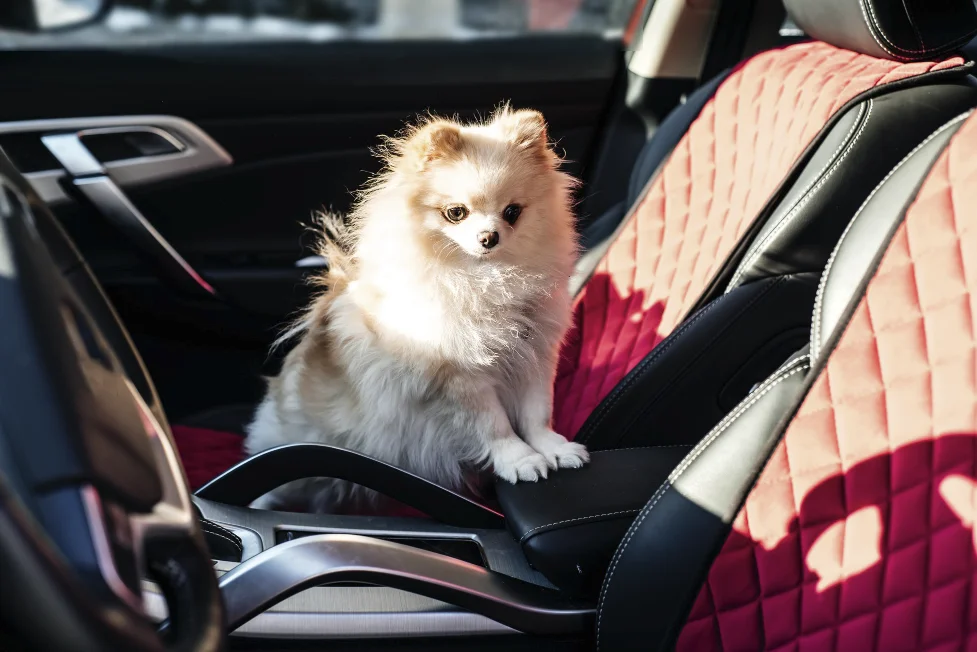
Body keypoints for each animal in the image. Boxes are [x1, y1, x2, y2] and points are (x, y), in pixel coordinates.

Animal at [244, 107, 588, 516]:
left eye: (512, 212)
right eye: (456, 213)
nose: (489, 237)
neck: (485, 278)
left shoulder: (536, 355)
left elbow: (538, 413)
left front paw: (552, 448)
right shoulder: (460, 377)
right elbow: (494, 424)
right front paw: (519, 459)